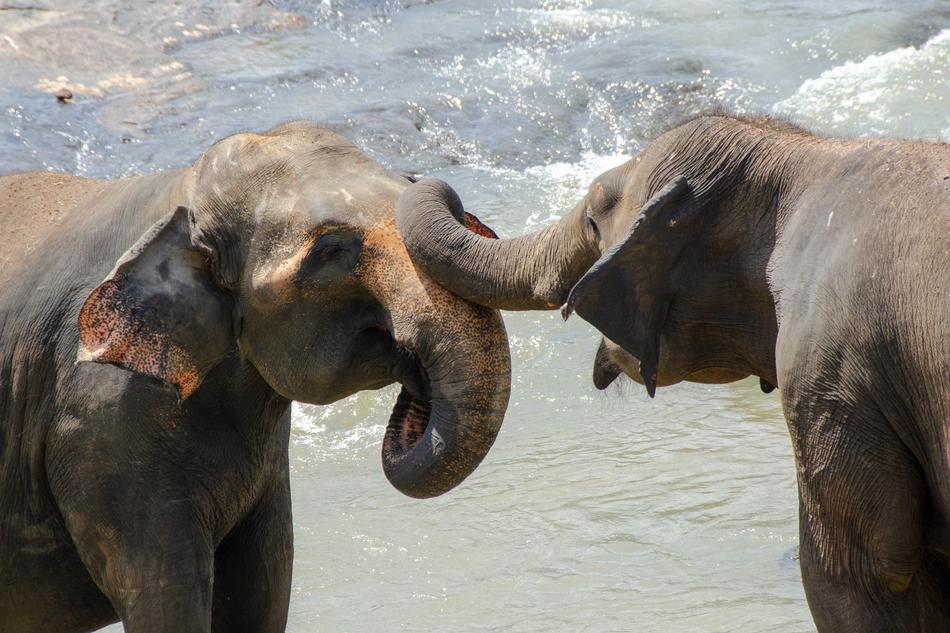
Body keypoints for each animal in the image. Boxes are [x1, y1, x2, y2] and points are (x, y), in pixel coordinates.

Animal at [0, 120, 510, 633]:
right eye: (330, 250)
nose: (430, 184)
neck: (182, 194)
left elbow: (263, 588)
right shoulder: (100, 424)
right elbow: (166, 598)